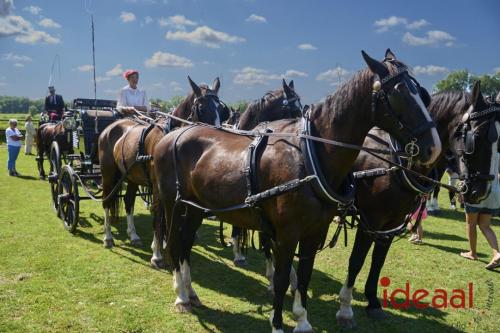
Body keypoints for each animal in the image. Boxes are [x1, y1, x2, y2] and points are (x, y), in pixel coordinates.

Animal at [96, 75, 229, 268]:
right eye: (201, 107)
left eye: (221, 109)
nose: (218, 138)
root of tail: (110, 128)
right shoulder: (159, 188)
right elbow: (159, 216)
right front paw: (157, 254)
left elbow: (167, 218)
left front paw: (164, 243)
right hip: (108, 173)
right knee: (107, 201)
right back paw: (108, 238)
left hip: (131, 176)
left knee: (128, 202)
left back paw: (133, 235)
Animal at [153, 48, 442, 330]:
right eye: (399, 94)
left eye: (422, 94)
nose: (433, 147)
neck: (308, 156)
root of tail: (173, 135)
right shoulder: (289, 233)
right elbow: (283, 279)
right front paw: (278, 323)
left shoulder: (316, 231)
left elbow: (304, 275)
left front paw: (302, 320)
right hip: (173, 204)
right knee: (174, 241)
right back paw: (181, 295)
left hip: (195, 209)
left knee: (186, 243)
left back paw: (190, 292)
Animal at [334, 80, 498, 326]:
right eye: (475, 137)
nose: (481, 192)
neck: (397, 160)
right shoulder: (371, 220)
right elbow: (357, 260)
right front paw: (345, 308)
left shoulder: (391, 222)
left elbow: (378, 261)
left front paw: (373, 302)